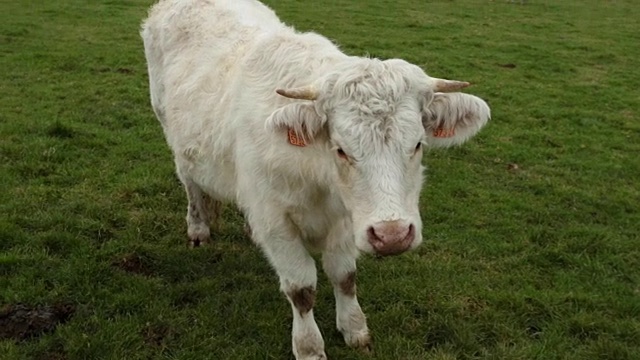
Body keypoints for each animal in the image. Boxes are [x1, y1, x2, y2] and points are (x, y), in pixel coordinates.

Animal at [141, 1, 490, 358]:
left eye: (418, 144)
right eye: (341, 149)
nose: (391, 235)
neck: (319, 183)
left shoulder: (347, 219)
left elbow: (344, 275)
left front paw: (354, 327)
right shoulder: (276, 222)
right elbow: (301, 288)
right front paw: (309, 346)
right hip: (175, 138)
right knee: (192, 186)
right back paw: (198, 229)